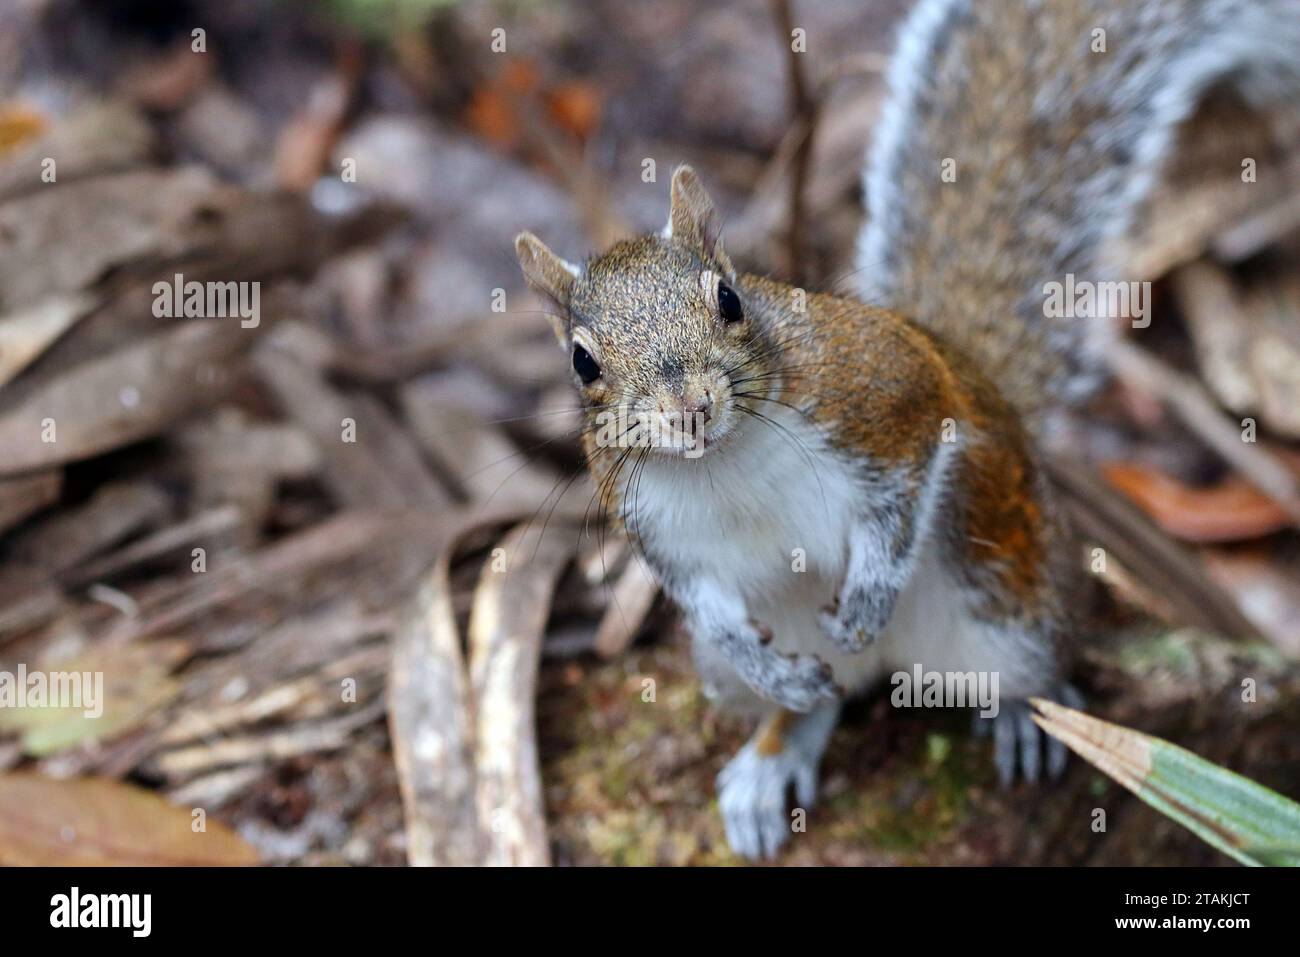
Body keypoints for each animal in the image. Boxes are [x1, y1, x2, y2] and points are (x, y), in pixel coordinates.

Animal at [512, 0, 1294, 858]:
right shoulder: (658, 528)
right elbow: (707, 603)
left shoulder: (890, 402)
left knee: (1032, 668)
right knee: (813, 697)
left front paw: (868, 596)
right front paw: (773, 672)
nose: (689, 409)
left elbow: (900, 499)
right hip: (733, 671)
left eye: (729, 298)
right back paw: (775, 748)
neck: (725, 460)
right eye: (582, 361)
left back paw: (1019, 713)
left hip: (1010, 606)